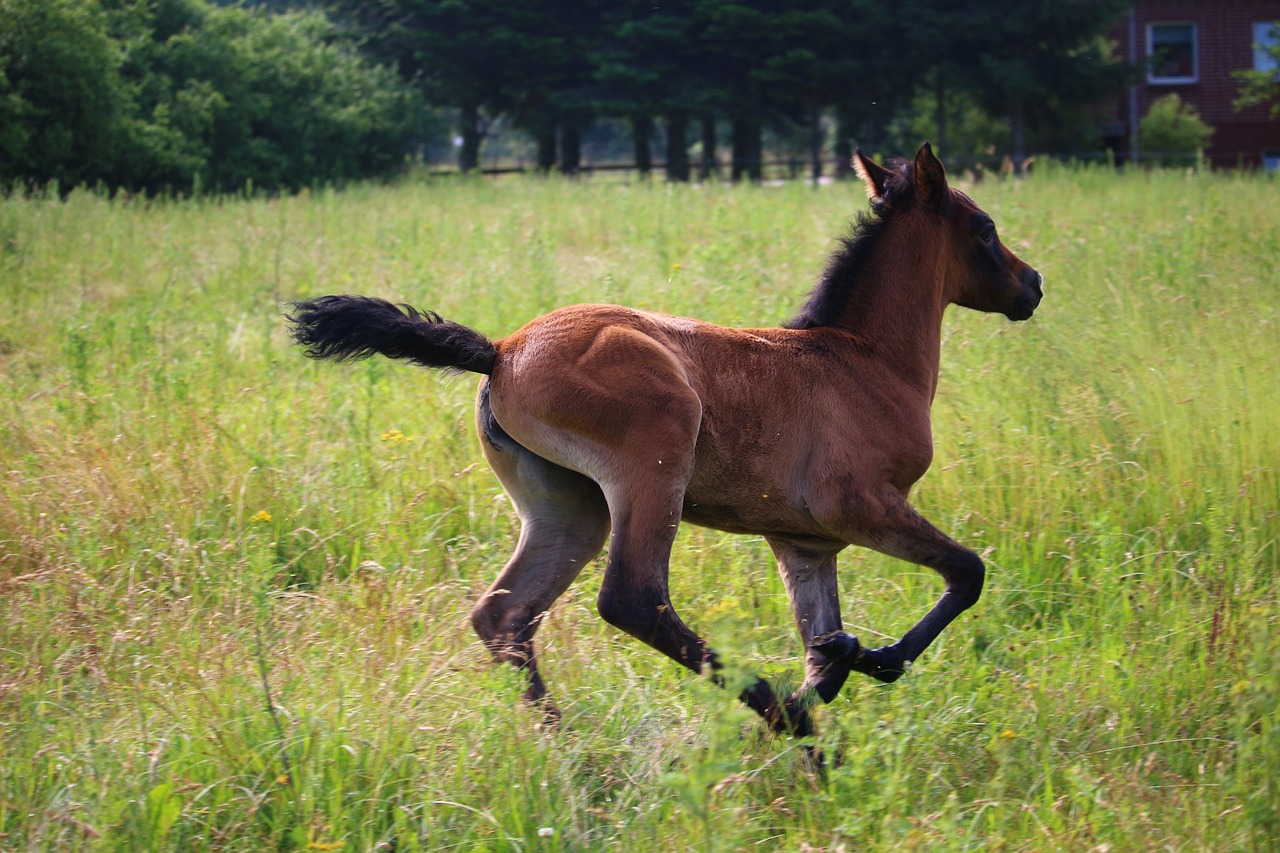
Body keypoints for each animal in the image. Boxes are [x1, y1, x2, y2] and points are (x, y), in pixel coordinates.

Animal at [293, 142, 1049, 732]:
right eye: (984, 228)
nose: (1034, 284)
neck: (865, 358)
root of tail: (502, 349)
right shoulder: (857, 503)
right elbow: (967, 571)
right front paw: (875, 663)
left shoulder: (803, 542)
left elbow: (821, 648)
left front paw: (838, 668)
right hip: (654, 462)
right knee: (631, 598)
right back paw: (773, 712)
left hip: (568, 507)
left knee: (505, 616)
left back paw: (571, 747)